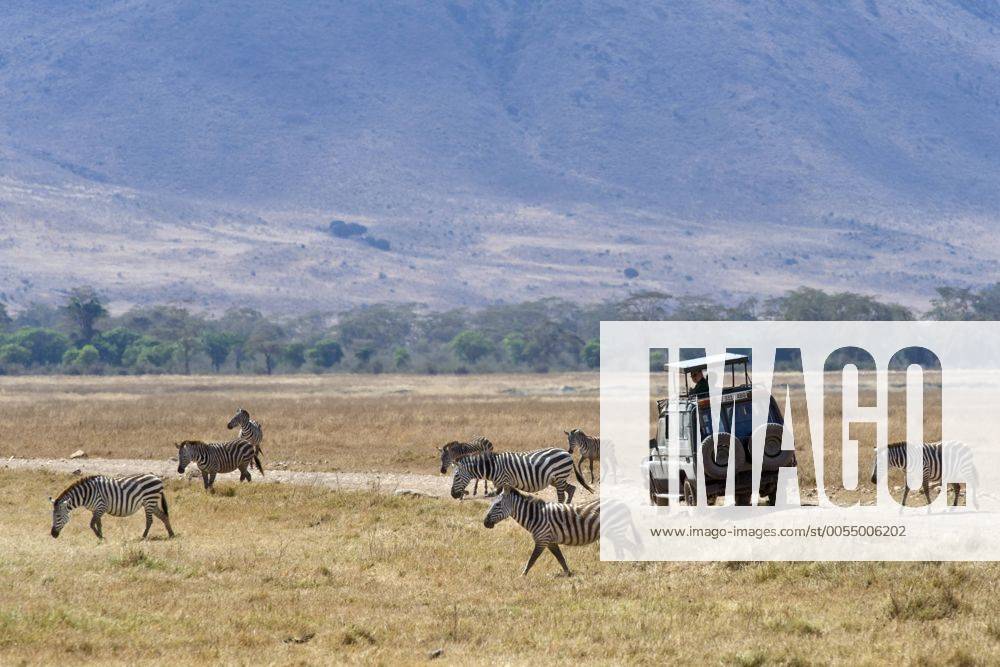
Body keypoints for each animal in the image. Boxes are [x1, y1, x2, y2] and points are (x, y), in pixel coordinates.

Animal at [450, 448, 593, 503]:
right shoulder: (502, 484)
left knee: (562, 496)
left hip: (559, 476)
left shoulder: (506, 481)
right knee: (572, 489)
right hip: (556, 479)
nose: (453, 495)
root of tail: (566, 453)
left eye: (456, 477)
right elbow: (495, 495)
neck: (494, 467)